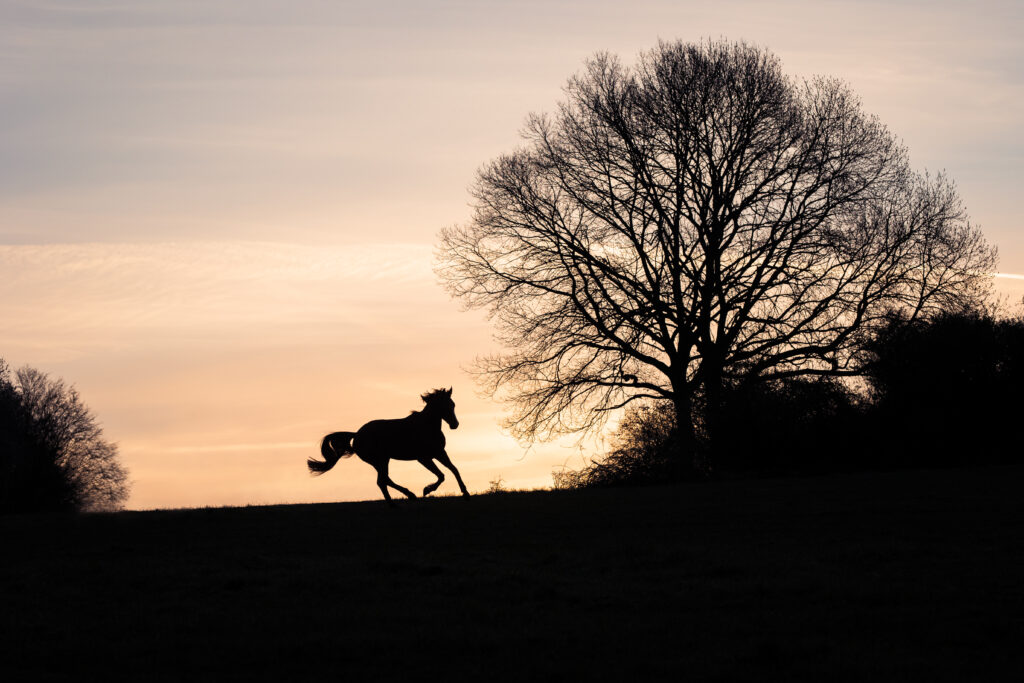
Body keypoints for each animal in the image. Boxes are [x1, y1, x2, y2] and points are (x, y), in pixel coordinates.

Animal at [305, 389, 468, 501]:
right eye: (443, 406)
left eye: (452, 405)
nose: (455, 424)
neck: (426, 426)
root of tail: (356, 435)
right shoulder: (423, 458)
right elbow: (441, 475)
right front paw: (427, 490)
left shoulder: (439, 453)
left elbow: (453, 469)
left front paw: (465, 493)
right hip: (380, 460)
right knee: (382, 481)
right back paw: (402, 500)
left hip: (382, 461)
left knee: (384, 480)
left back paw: (403, 499)